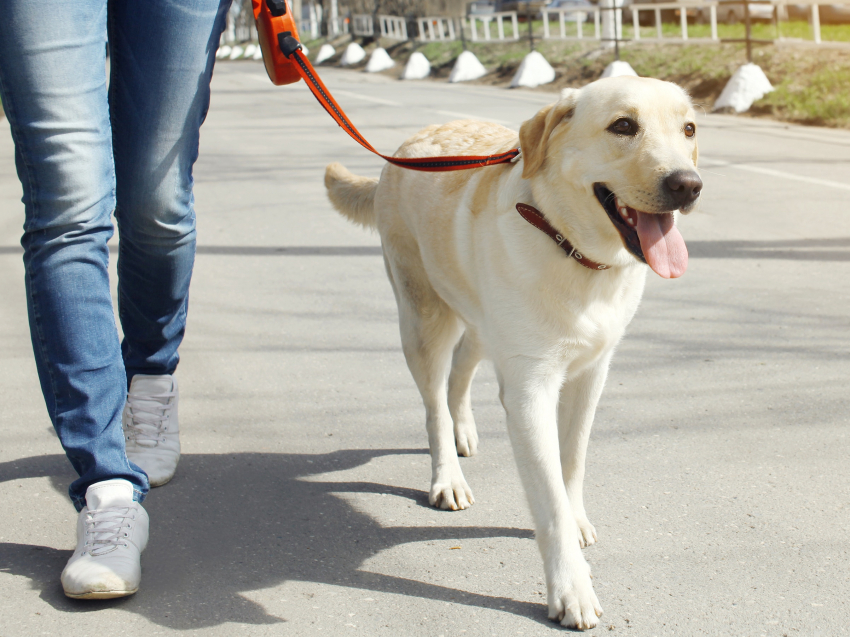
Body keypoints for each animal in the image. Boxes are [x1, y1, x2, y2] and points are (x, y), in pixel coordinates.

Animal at [322, 77, 700, 628]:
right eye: (623, 126)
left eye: (688, 129)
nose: (688, 185)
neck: (572, 249)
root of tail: (409, 145)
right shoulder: (529, 390)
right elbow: (549, 497)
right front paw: (571, 587)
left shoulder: (591, 375)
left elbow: (573, 462)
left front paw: (577, 517)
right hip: (423, 319)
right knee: (434, 403)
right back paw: (447, 475)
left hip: (481, 322)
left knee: (460, 372)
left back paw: (463, 431)